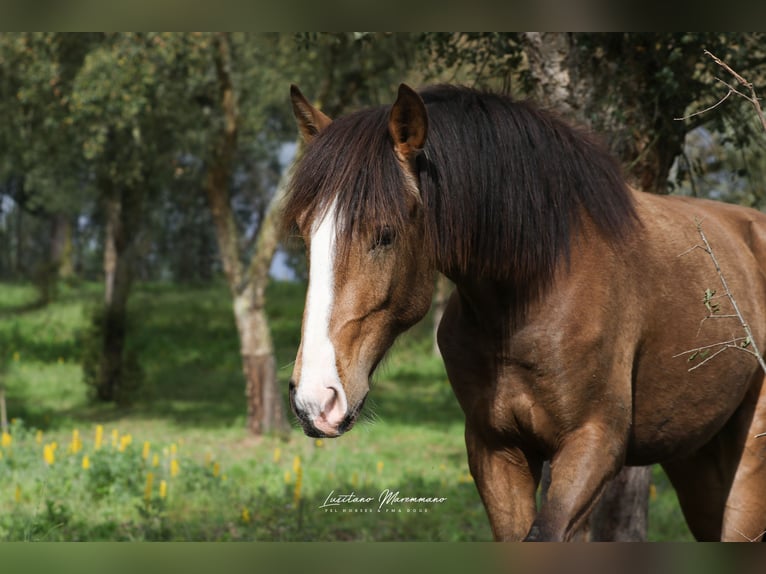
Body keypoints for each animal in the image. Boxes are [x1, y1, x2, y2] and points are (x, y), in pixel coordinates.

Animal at [280, 83, 766, 544]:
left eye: (384, 234)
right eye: (305, 232)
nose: (315, 399)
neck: (531, 297)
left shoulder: (594, 444)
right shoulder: (496, 449)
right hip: (696, 460)